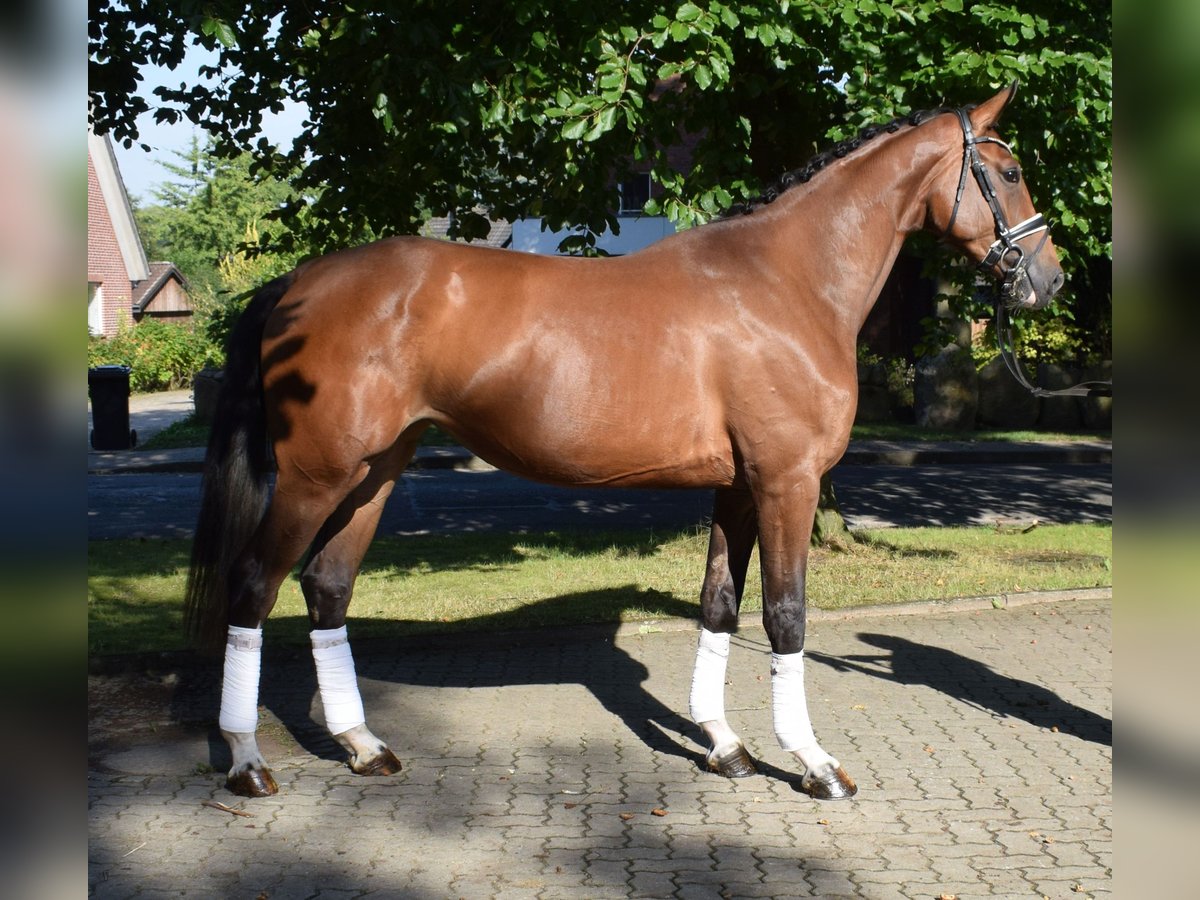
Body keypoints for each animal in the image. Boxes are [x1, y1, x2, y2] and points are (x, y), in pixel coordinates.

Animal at [184, 86, 1060, 801]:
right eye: (1010, 170)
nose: (1046, 280)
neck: (785, 282)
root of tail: (297, 285)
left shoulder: (737, 485)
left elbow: (718, 605)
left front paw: (726, 748)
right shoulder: (787, 481)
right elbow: (785, 616)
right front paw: (814, 764)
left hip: (374, 472)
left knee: (327, 588)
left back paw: (364, 747)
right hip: (314, 476)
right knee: (253, 587)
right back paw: (246, 761)